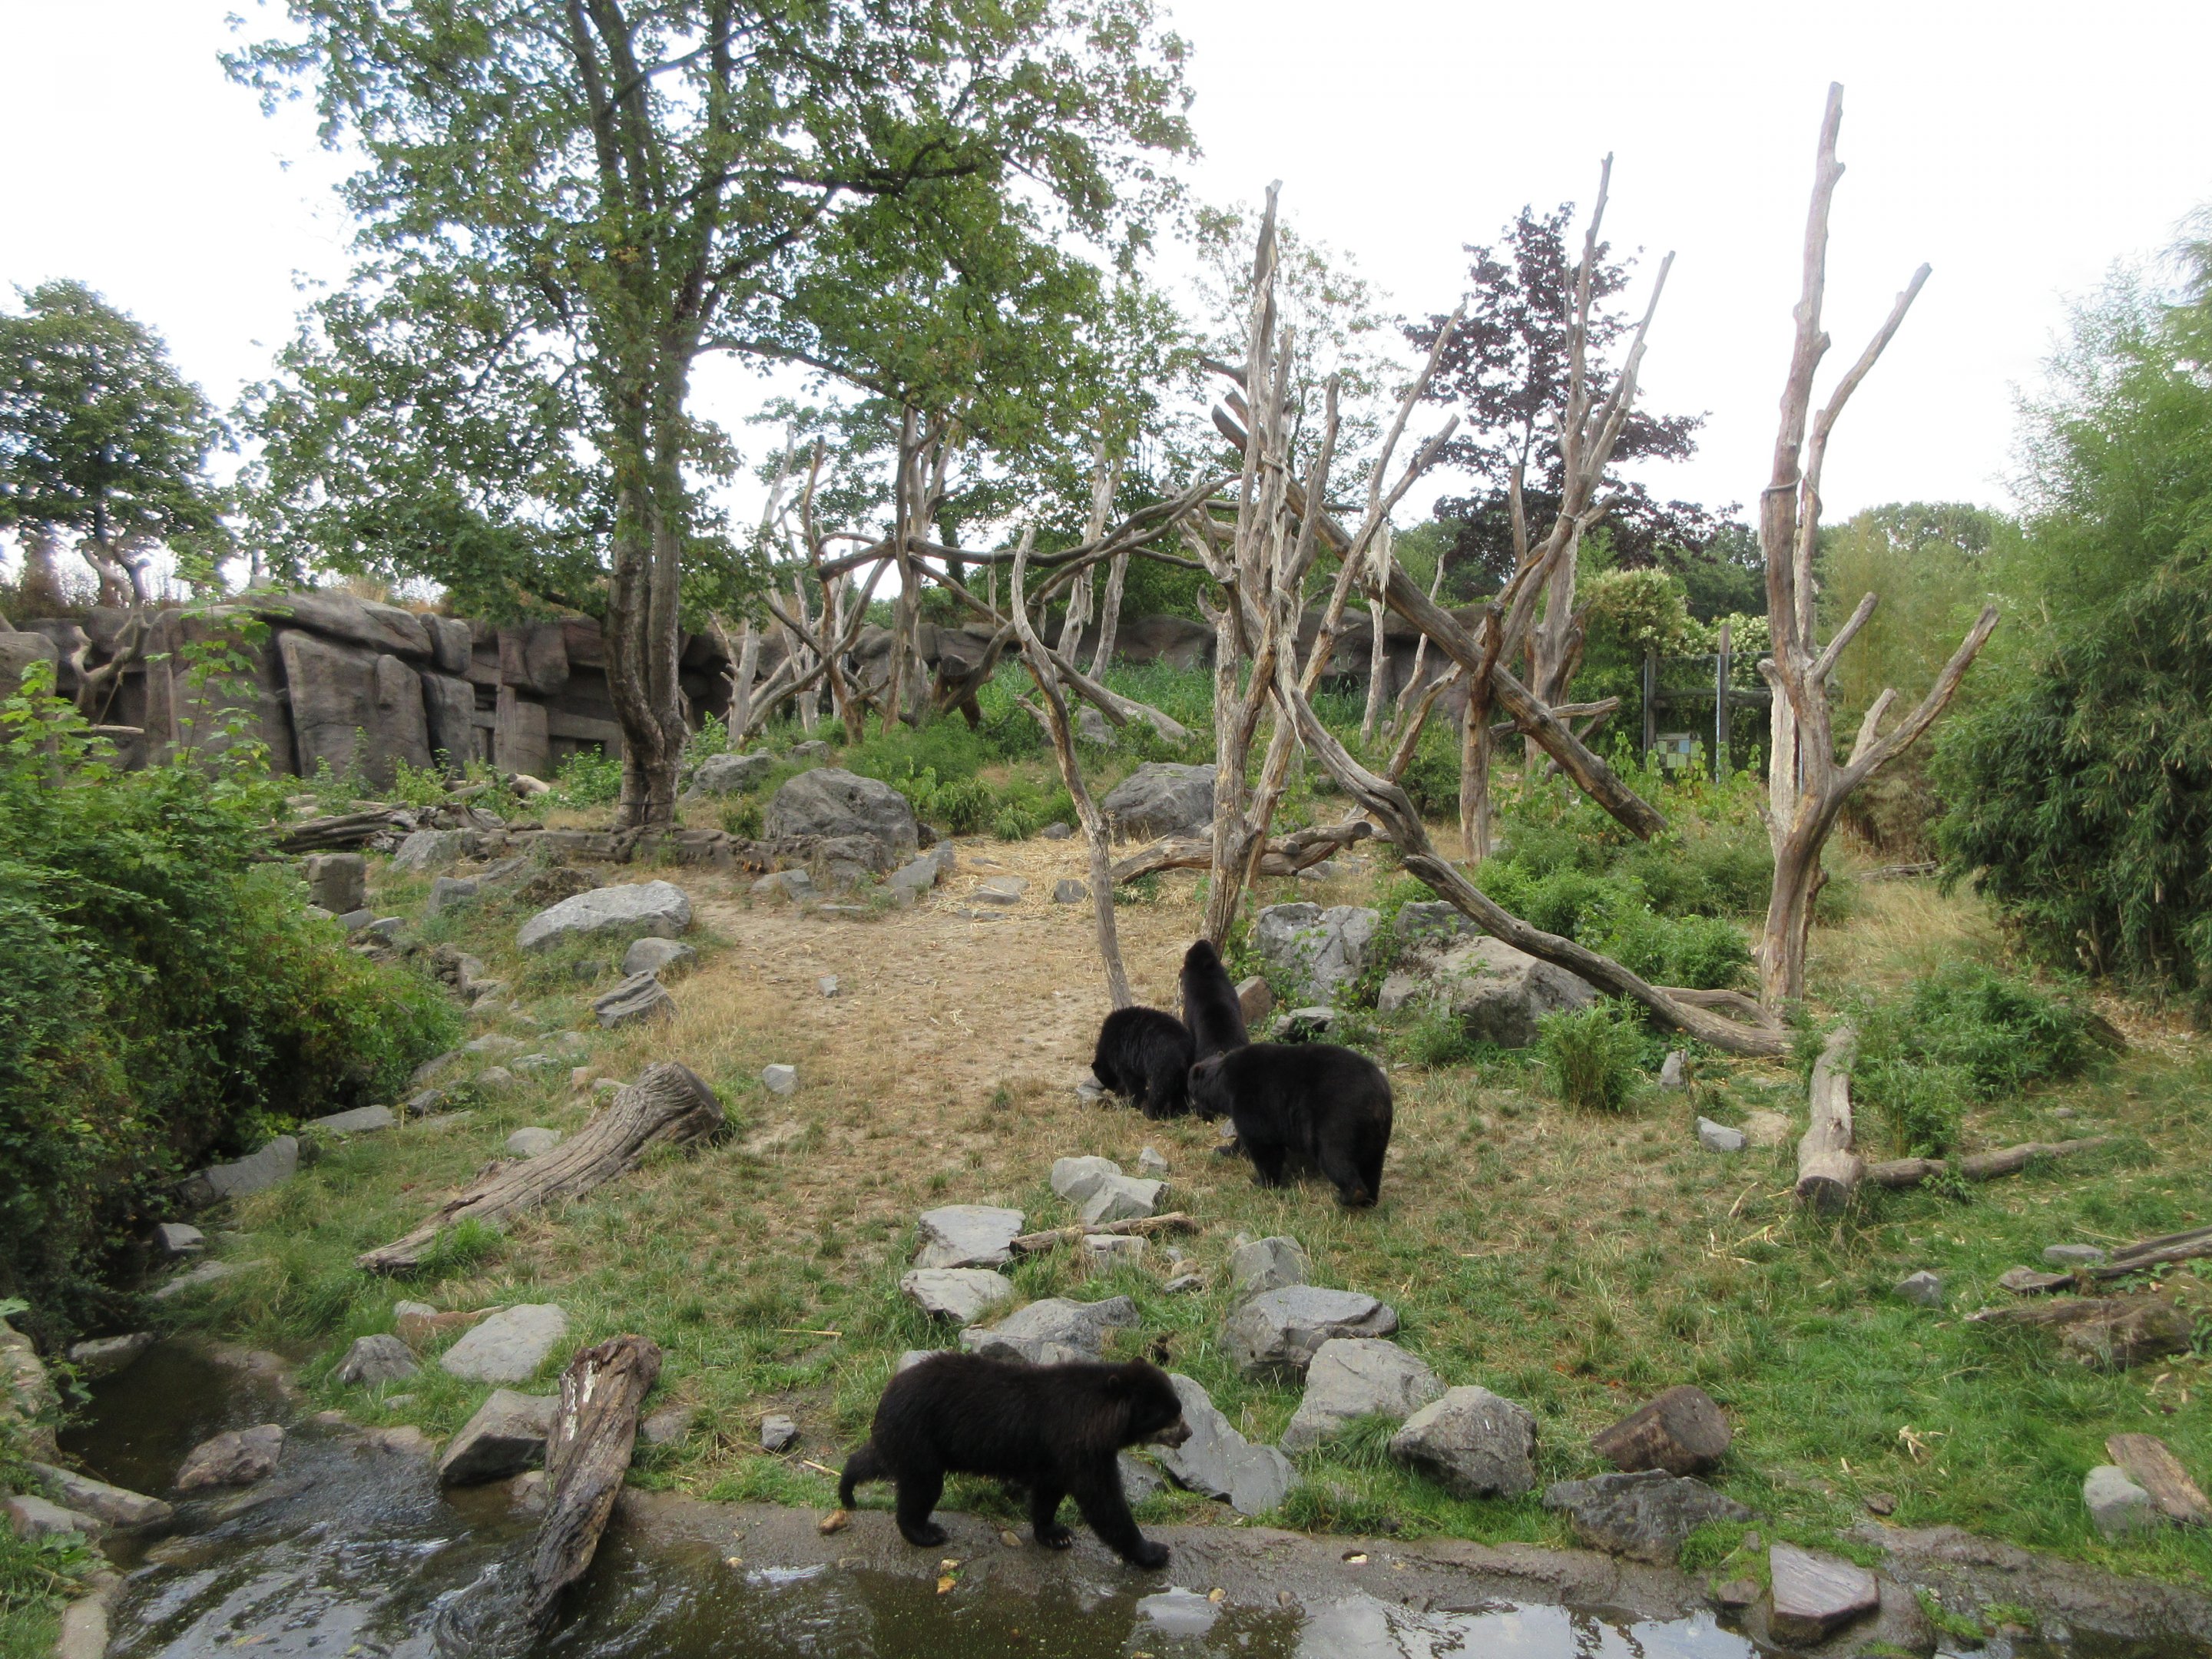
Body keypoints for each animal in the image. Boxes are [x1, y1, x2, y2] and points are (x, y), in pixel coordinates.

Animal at [838, 1352, 1190, 1567]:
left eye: (1179, 1408)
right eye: (1169, 1415)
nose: (1187, 1433)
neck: (1101, 1417)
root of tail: (887, 1394)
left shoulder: (1056, 1453)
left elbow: (1050, 1490)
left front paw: (1055, 1533)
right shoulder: (1077, 1442)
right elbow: (1103, 1501)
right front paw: (1154, 1551)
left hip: (906, 1437)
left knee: (881, 1460)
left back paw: (847, 1491)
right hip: (920, 1436)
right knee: (922, 1486)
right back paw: (925, 1532)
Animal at [1089, 1006, 1196, 1118]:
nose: (1116, 1093)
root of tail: (1183, 1050)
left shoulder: (1124, 1057)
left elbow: (1133, 1081)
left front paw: (1131, 1102)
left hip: (1162, 1063)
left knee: (1158, 1088)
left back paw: (1151, 1112)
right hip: (1186, 1067)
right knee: (1181, 1089)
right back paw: (1179, 1111)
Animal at [1187, 1040, 1393, 1207]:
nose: (1193, 1107)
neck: (1225, 1081)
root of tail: (1377, 1099)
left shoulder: (1252, 1099)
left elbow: (1262, 1143)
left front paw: (1262, 1181)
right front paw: (1224, 1150)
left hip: (1338, 1119)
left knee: (1335, 1156)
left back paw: (1349, 1196)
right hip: (1375, 1132)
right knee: (1371, 1163)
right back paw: (1369, 1200)